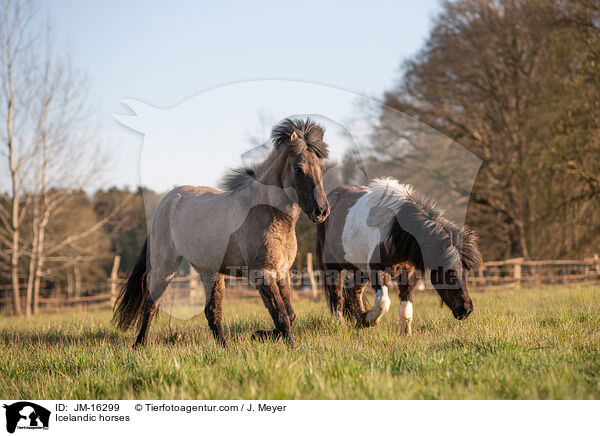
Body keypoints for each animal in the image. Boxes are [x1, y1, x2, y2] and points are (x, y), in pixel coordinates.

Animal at [115, 116, 330, 348]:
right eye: (299, 168)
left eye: (320, 166)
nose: (321, 210)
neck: (267, 212)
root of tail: (166, 202)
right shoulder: (262, 272)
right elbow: (281, 316)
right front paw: (286, 345)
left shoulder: (282, 273)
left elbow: (289, 315)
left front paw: (260, 334)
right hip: (166, 266)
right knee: (151, 304)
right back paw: (139, 344)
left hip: (209, 271)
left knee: (212, 311)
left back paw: (224, 347)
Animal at [316, 177, 480, 334]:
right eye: (449, 273)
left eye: (467, 272)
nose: (466, 309)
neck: (394, 231)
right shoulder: (377, 270)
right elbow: (383, 302)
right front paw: (367, 320)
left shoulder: (410, 274)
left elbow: (406, 308)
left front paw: (405, 334)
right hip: (333, 266)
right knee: (336, 296)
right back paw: (340, 324)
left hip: (357, 267)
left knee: (354, 291)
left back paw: (358, 317)